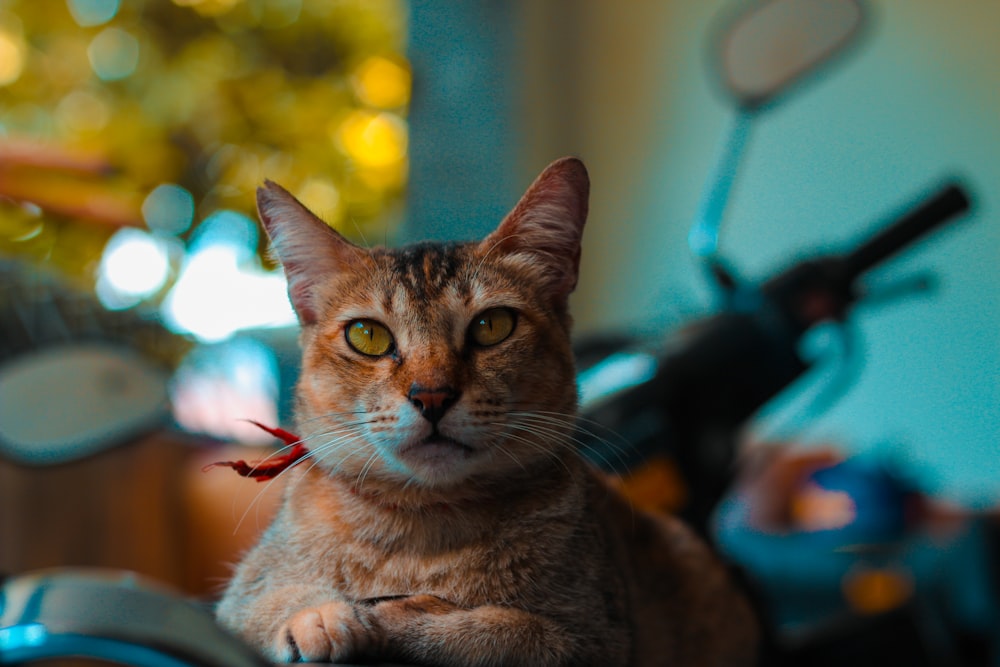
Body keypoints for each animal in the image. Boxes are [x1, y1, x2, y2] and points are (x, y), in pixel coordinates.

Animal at [217, 159, 756, 664]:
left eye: (492, 325)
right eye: (368, 335)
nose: (432, 396)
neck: (423, 531)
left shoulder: (596, 638)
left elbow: (498, 630)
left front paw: (401, 615)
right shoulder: (240, 595)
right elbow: (262, 604)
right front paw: (318, 617)